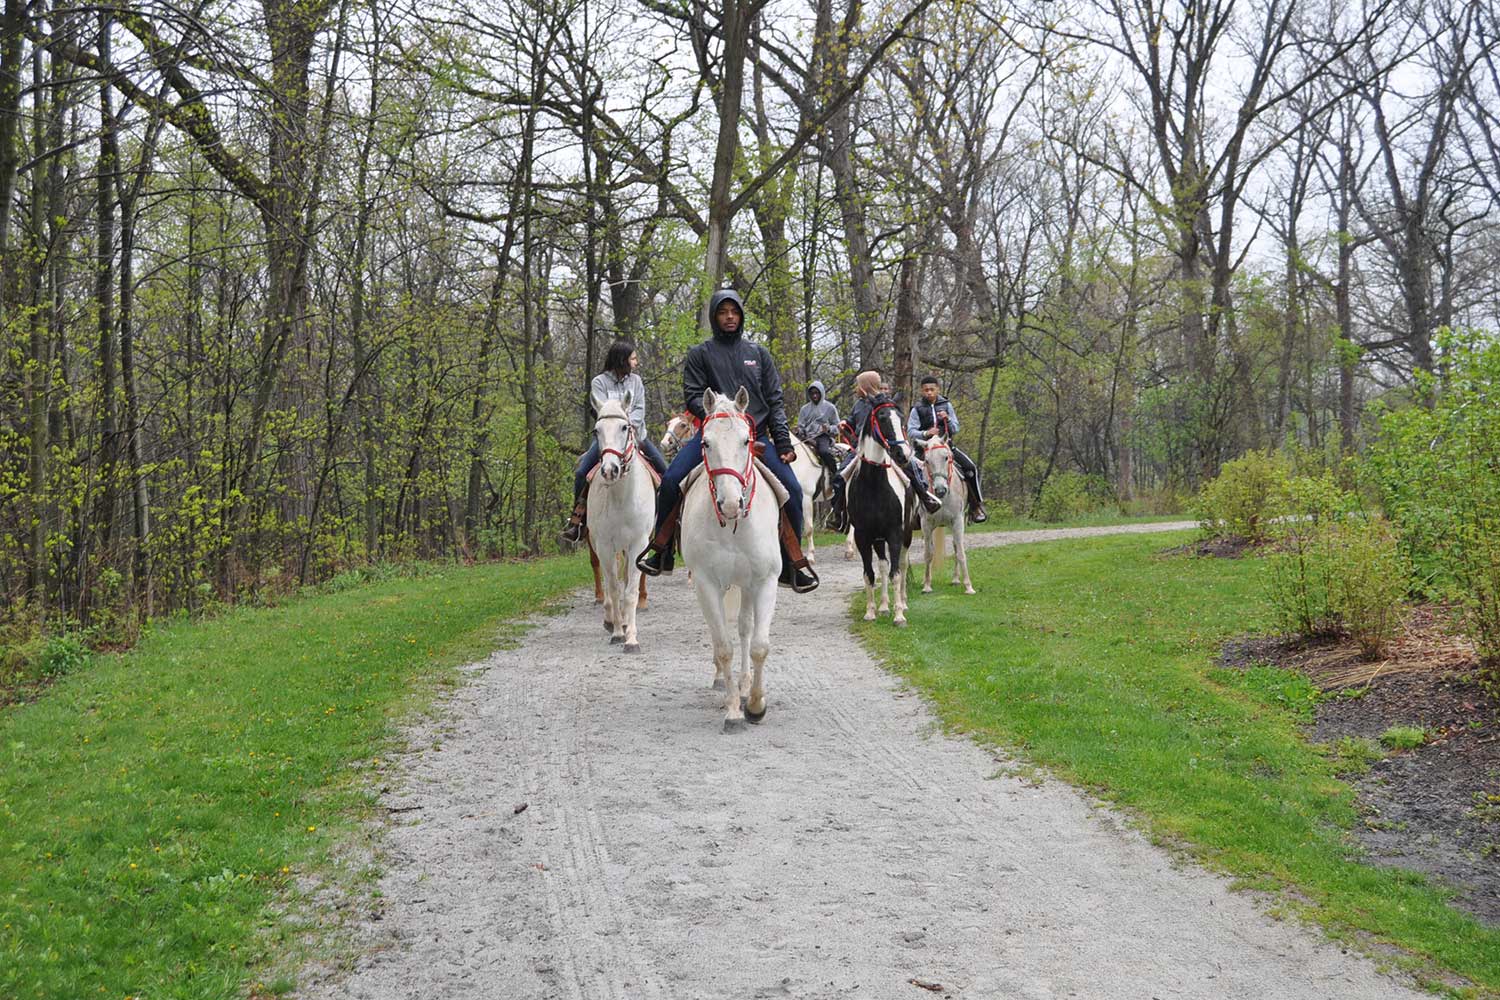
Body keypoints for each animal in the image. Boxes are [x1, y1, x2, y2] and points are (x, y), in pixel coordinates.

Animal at [585, 395, 657, 653]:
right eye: (596, 430)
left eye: (625, 427)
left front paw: (631, 638)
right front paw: (617, 632)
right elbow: (615, 589)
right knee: (608, 580)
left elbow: (630, 590)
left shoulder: (637, 544)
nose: (609, 470)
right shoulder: (605, 545)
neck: (622, 498)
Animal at [678, 386, 780, 731]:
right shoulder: (706, 584)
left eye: (746, 441)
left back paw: (746, 686)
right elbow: (723, 647)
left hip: (746, 585)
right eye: (706, 443)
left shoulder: (765, 581)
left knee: (746, 629)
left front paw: (756, 705)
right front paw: (734, 710)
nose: (732, 504)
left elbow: (760, 645)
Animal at [852, 398, 918, 626]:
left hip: (906, 534)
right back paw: (883, 606)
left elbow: (896, 573)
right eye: (882, 419)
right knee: (881, 565)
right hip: (878, 540)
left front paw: (899, 616)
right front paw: (871, 612)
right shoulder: (862, 537)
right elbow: (869, 574)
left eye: (901, 419)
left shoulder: (895, 534)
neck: (874, 486)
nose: (903, 454)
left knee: (903, 564)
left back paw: (904, 603)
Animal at [918, 437, 978, 593]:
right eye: (927, 460)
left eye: (946, 457)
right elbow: (928, 553)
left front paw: (968, 586)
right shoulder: (926, 523)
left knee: (956, 546)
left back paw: (956, 579)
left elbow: (960, 552)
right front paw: (927, 585)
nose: (940, 490)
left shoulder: (957, 521)